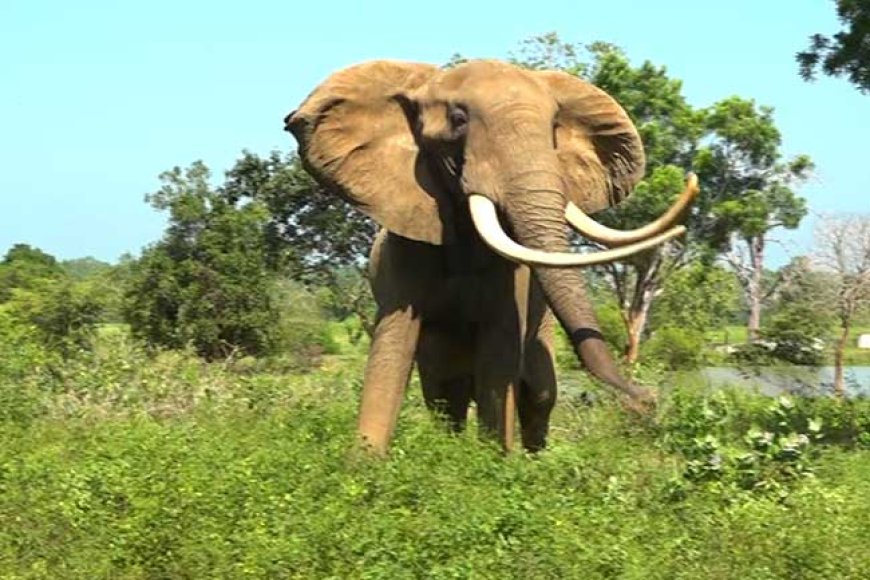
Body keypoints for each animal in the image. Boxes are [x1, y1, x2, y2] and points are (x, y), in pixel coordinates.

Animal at [282, 61, 700, 456]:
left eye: (553, 130)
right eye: (458, 120)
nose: (646, 402)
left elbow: (499, 353)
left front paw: (496, 462)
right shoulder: (404, 248)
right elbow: (392, 346)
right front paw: (364, 465)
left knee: (539, 390)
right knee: (445, 392)